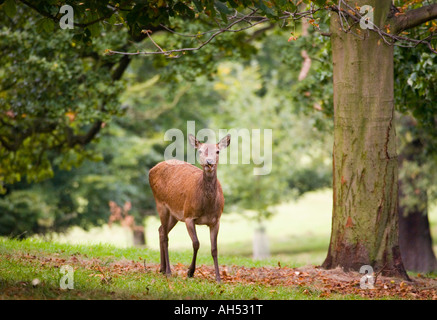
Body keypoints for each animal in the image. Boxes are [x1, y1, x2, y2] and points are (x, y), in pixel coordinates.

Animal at [148, 132, 230, 282]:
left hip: (174, 213)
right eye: (200, 151)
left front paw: (218, 278)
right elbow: (196, 243)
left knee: (161, 230)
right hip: (160, 203)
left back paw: (162, 268)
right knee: (165, 236)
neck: (207, 206)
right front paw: (190, 272)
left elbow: (214, 249)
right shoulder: (188, 216)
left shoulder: (216, 220)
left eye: (217, 151)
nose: (209, 162)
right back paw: (168, 271)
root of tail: (152, 169)